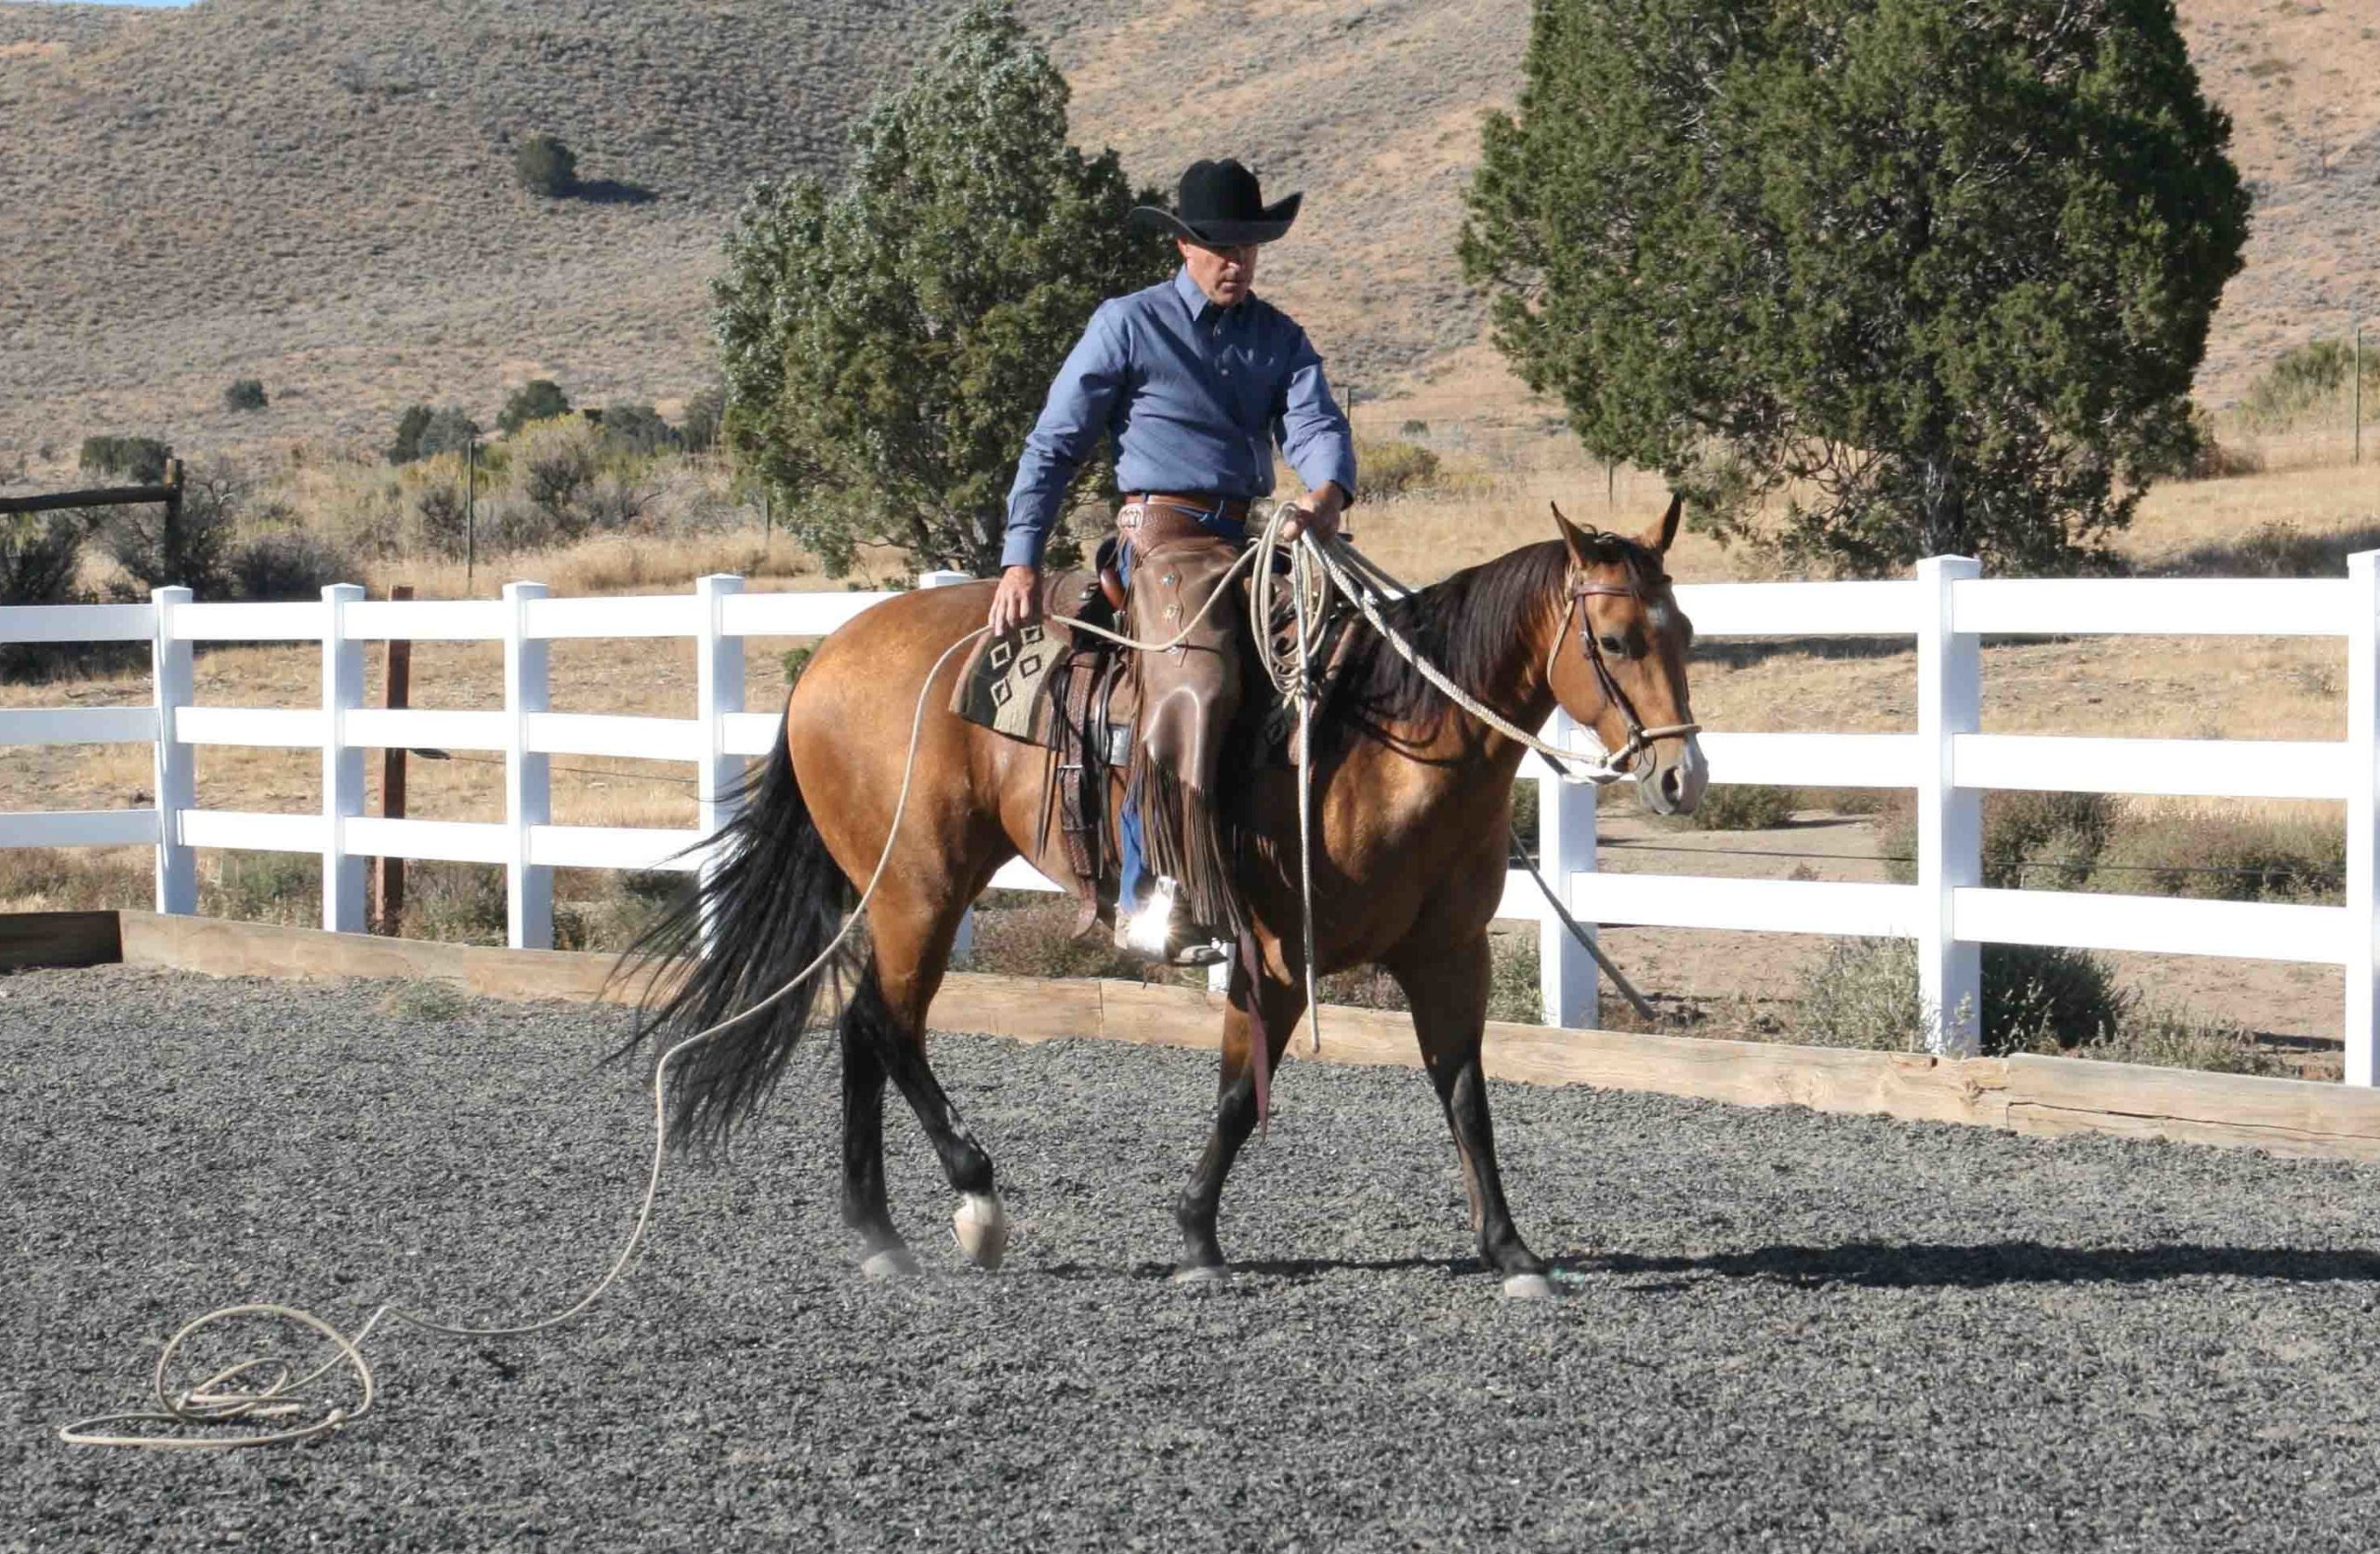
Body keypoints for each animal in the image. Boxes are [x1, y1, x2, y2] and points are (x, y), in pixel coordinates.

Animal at [622, 498, 1705, 1296]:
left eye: (1686, 631)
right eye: (1615, 638)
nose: (1681, 776)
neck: (1388, 741)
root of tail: (829, 658)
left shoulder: (1449, 956)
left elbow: (1467, 1096)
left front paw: (1512, 1252)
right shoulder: (1276, 958)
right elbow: (1236, 1095)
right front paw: (1196, 1240)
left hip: (906, 893)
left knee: (864, 1024)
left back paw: (880, 1231)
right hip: (918, 888)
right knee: (886, 1026)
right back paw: (978, 1204)